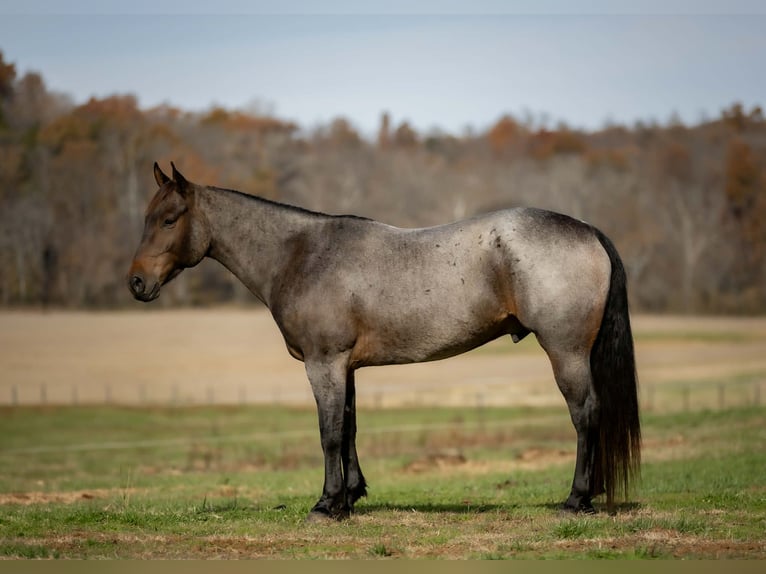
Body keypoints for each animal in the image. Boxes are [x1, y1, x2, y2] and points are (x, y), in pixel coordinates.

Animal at [127, 162, 640, 520]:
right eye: (147, 218)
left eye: (170, 219)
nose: (136, 283)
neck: (301, 254)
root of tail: (587, 230)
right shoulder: (346, 367)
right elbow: (350, 427)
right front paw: (350, 497)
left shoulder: (323, 363)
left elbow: (329, 432)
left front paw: (326, 504)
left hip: (565, 351)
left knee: (585, 414)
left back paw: (576, 499)